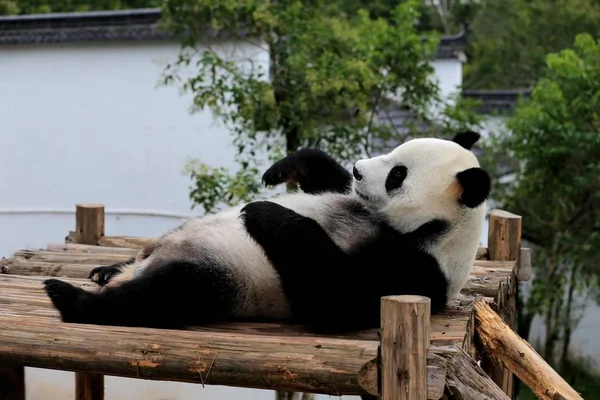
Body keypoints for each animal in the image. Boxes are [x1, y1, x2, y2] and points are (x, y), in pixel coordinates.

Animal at [43, 132, 492, 334]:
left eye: (398, 174)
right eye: (395, 153)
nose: (360, 169)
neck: (436, 227)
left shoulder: (418, 267)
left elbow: (338, 299)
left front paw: (263, 211)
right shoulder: (356, 200)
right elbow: (332, 183)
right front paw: (287, 166)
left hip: (221, 279)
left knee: (163, 294)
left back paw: (71, 298)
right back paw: (106, 269)